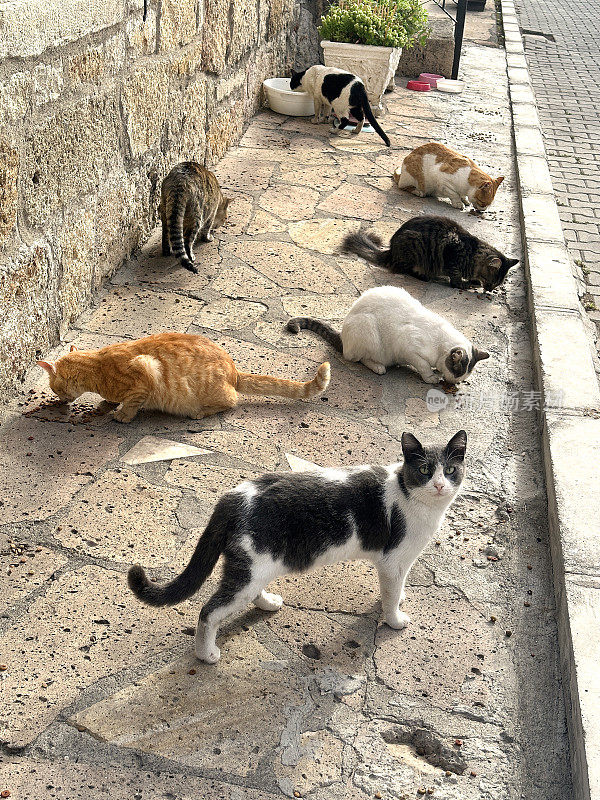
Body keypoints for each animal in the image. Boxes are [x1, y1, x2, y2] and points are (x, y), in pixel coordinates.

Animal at [37, 332, 330, 422]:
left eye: (56, 389)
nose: (61, 400)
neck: (97, 367)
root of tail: (234, 370)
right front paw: (106, 404)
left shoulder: (146, 371)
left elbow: (131, 402)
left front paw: (122, 415)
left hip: (214, 392)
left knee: (232, 400)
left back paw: (200, 413)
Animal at [127, 432, 468, 664]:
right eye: (424, 471)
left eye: (450, 470)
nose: (440, 484)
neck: (412, 497)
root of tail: (232, 497)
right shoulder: (393, 560)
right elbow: (391, 594)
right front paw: (395, 618)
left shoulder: (396, 565)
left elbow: (395, 589)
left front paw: (399, 598)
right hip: (247, 573)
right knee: (209, 612)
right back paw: (206, 653)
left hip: (255, 567)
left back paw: (267, 602)